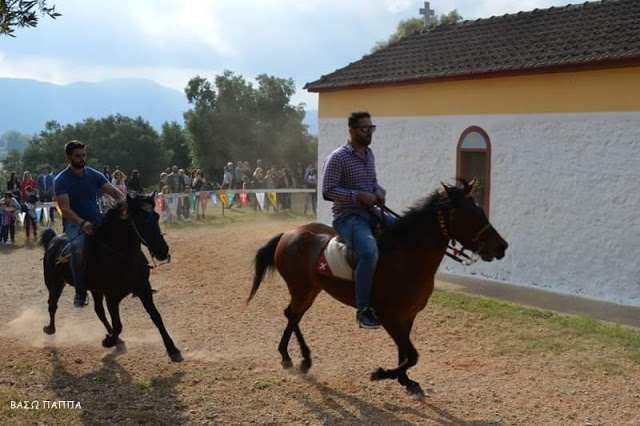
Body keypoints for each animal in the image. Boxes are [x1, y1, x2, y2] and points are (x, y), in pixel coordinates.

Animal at [40, 195, 182, 362]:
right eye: (139, 220)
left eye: (156, 216)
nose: (162, 250)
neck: (121, 257)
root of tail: (53, 240)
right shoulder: (111, 297)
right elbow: (118, 325)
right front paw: (108, 342)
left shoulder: (143, 289)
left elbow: (156, 317)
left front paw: (172, 348)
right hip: (55, 283)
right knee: (52, 305)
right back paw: (50, 329)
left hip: (95, 290)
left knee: (99, 311)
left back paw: (113, 336)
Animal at [248, 181, 508, 396]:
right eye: (471, 213)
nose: (501, 246)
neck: (408, 256)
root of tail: (289, 233)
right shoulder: (389, 316)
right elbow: (412, 354)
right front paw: (382, 374)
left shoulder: (408, 315)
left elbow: (405, 352)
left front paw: (406, 381)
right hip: (302, 289)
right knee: (292, 315)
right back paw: (297, 358)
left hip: (310, 290)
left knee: (292, 315)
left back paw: (293, 357)